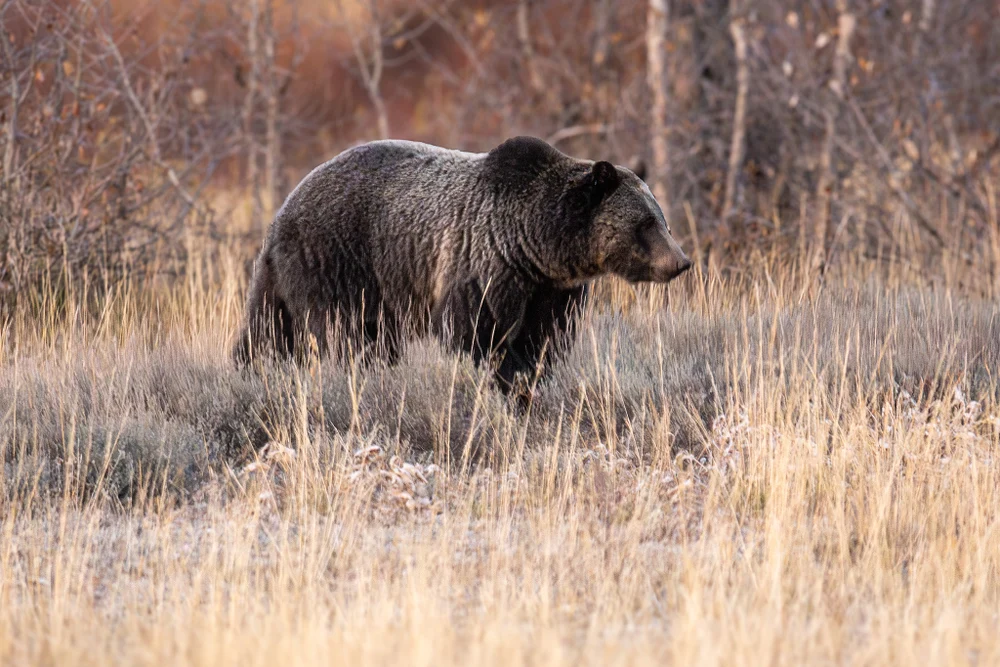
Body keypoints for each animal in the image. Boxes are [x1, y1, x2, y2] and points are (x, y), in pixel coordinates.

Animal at [233, 136, 691, 395]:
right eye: (645, 223)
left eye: (663, 219)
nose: (681, 262)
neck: (537, 245)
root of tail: (285, 208)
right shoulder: (485, 266)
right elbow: (475, 336)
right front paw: (502, 383)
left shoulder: (551, 292)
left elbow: (544, 341)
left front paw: (530, 381)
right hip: (340, 260)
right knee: (351, 334)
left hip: (287, 279)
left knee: (266, 332)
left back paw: (251, 373)